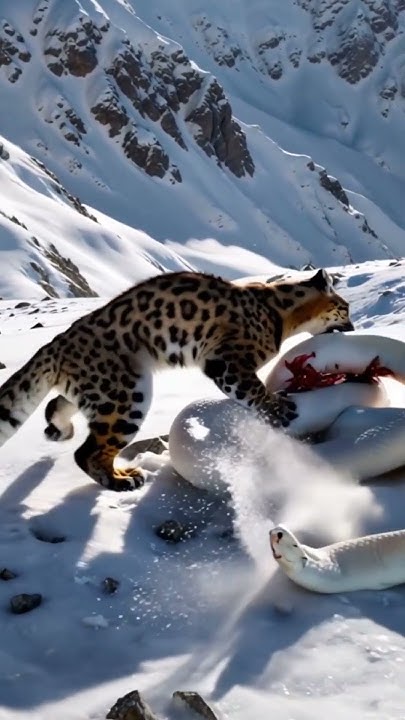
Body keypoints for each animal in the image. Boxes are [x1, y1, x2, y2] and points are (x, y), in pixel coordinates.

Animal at [0, 268, 353, 491]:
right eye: (345, 307)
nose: (352, 326)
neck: (283, 317)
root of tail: (59, 343)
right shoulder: (228, 361)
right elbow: (252, 389)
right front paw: (278, 408)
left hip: (97, 390)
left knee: (59, 404)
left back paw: (59, 429)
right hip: (125, 397)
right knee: (88, 452)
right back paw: (122, 480)